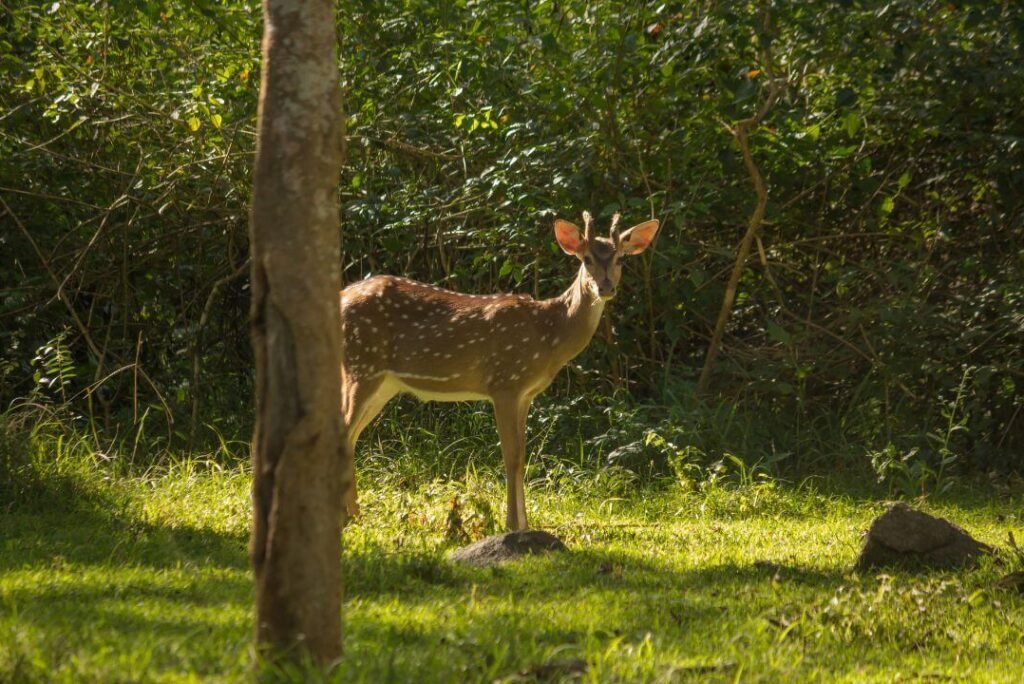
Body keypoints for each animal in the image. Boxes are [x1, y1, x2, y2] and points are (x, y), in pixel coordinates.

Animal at [342, 210, 663, 532]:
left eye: (620, 259)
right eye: (586, 259)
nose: (605, 288)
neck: (549, 334)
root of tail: (342, 296)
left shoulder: (526, 394)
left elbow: (522, 455)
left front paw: (525, 523)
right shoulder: (505, 382)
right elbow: (510, 456)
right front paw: (511, 523)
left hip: (384, 383)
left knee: (352, 435)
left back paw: (354, 514)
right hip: (362, 366)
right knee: (344, 431)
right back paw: (350, 516)